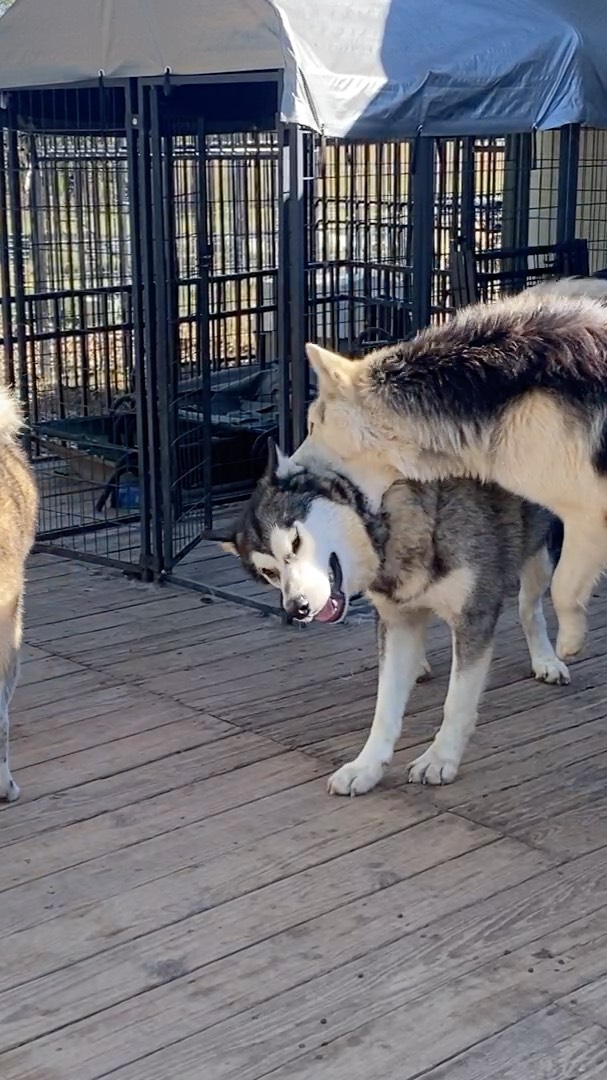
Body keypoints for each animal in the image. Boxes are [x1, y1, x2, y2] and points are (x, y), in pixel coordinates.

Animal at [223, 438, 565, 794]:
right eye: (269, 572)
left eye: (296, 541)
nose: (296, 608)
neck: (389, 523)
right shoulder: (396, 621)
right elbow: (385, 708)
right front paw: (366, 767)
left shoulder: (474, 616)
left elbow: (457, 702)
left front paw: (440, 758)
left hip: (543, 553)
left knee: (529, 605)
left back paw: (546, 660)